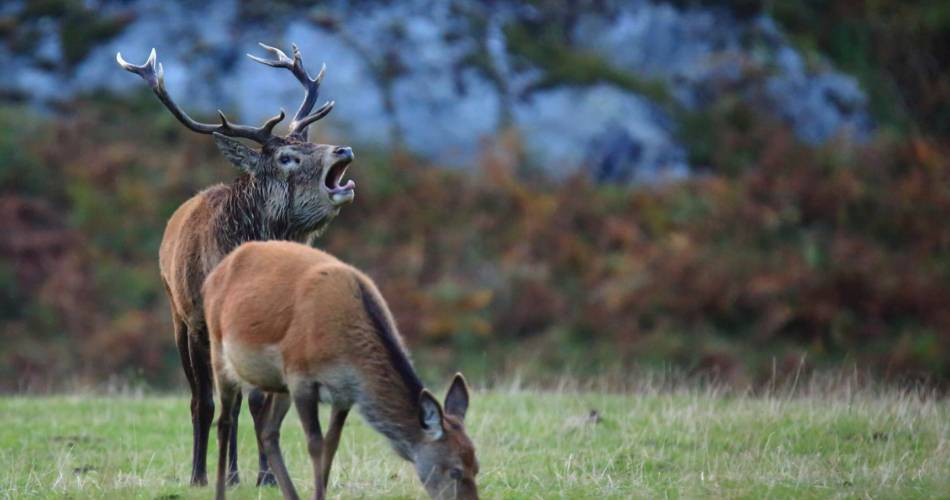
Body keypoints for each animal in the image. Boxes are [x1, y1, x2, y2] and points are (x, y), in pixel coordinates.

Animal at [116, 43, 356, 487]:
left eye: (310, 142)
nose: (343, 150)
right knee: (205, 398)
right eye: (287, 156)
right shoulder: (198, 322)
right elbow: (207, 403)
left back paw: (234, 473)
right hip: (178, 315)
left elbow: (261, 401)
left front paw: (267, 476)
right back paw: (214, 471)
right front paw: (198, 475)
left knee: (242, 399)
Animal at [203, 240, 480, 500]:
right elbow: (315, 443)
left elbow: (332, 443)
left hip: (278, 384)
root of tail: (213, 275)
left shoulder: (343, 393)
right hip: (219, 349)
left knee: (267, 429)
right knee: (225, 421)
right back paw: (220, 492)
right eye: (455, 470)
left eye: (476, 466)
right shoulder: (300, 376)